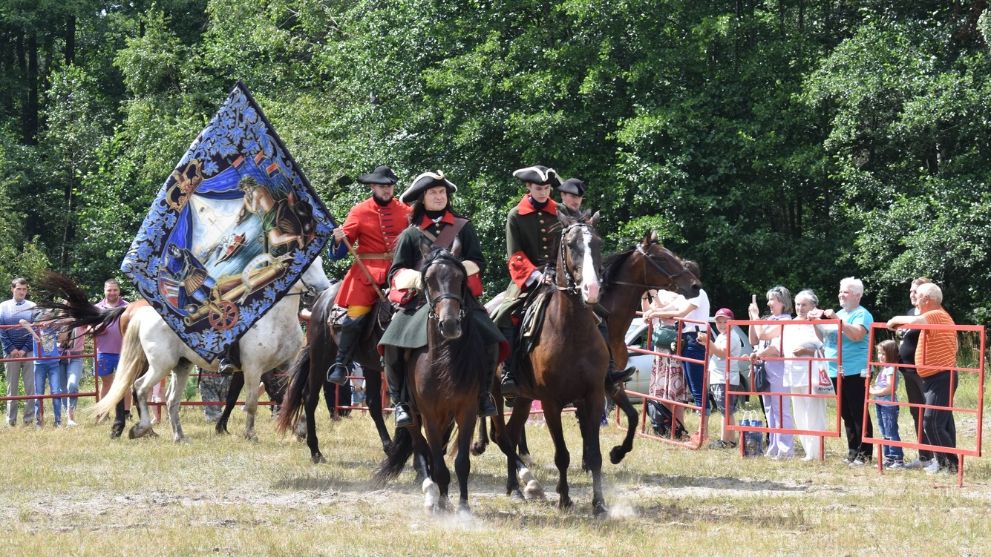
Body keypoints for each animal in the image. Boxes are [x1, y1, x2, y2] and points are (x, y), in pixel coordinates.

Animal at [82, 258, 330, 444]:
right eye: (308, 267)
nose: (324, 290)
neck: (275, 321)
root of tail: (141, 313)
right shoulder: (252, 368)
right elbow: (250, 402)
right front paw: (250, 434)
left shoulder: (287, 364)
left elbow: (291, 394)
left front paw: (299, 431)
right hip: (160, 365)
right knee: (140, 388)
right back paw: (141, 428)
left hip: (181, 367)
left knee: (171, 400)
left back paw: (179, 437)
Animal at [276, 282, 396, 460]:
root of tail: (323, 296)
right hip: (322, 357)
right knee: (310, 397)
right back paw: (315, 451)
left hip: (369, 364)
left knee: (373, 402)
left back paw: (390, 447)